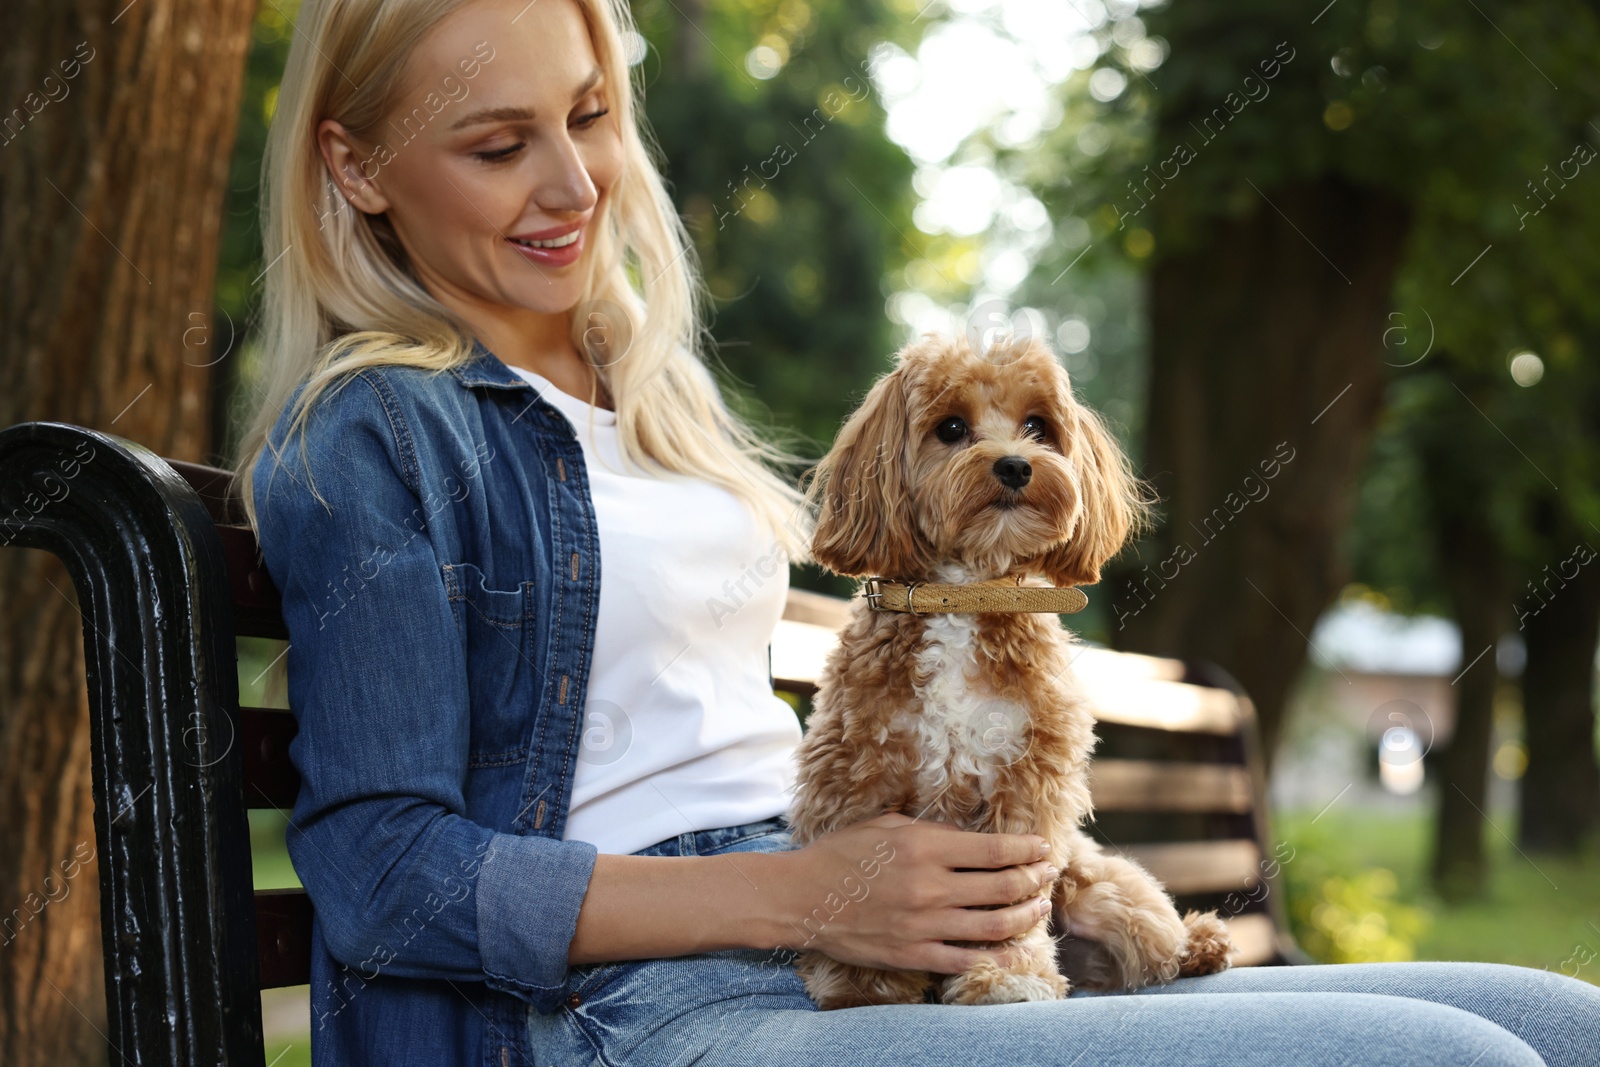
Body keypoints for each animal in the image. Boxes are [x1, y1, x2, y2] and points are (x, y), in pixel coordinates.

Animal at [790, 334, 1235, 1011]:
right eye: (951, 428)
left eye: (1038, 427)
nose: (1015, 466)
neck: (966, 593)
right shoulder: (856, 773)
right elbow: (857, 891)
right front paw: (864, 983)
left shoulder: (1026, 786)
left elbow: (1010, 906)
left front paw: (1004, 975)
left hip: (1104, 891)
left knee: (1158, 943)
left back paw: (1202, 945)